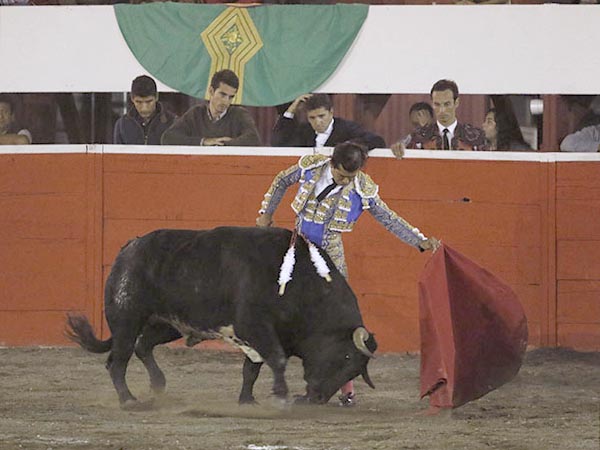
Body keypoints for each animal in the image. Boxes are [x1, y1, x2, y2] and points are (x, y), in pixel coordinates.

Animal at [66, 226, 377, 410]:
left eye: (354, 370)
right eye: (345, 358)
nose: (317, 398)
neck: (298, 282)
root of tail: (129, 247)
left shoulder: (258, 336)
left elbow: (252, 368)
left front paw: (247, 400)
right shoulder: (254, 326)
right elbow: (276, 359)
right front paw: (281, 395)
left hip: (169, 323)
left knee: (143, 346)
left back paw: (159, 386)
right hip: (127, 319)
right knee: (117, 361)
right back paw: (129, 400)